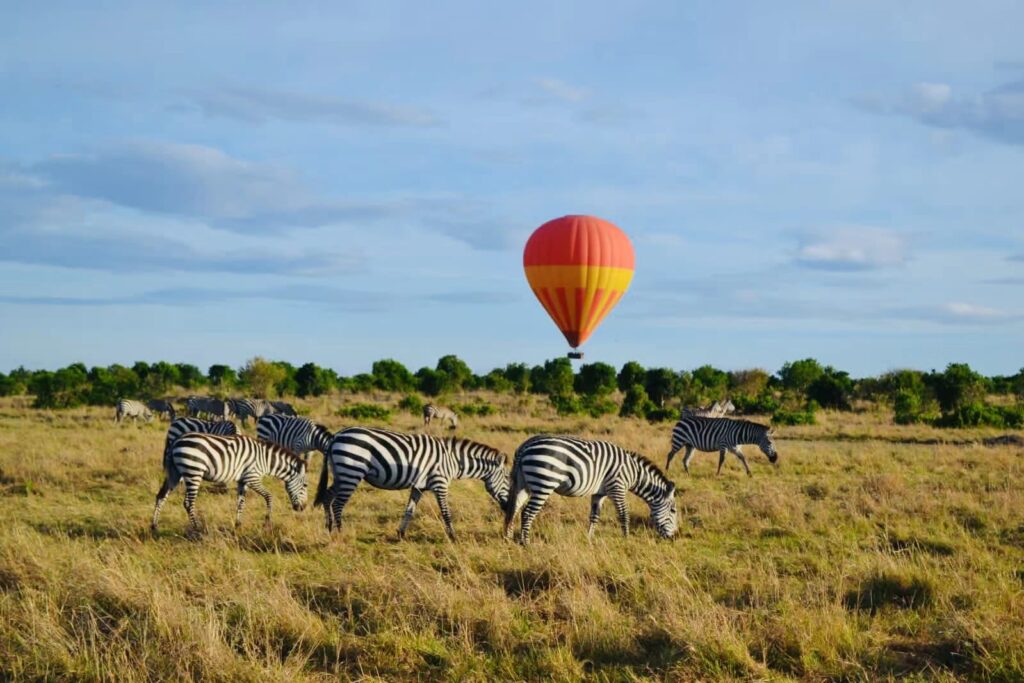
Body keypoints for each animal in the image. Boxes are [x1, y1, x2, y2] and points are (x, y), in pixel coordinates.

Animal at [149, 436, 305, 536]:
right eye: (305, 485)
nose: (302, 508)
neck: (266, 460)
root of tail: (176, 441)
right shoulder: (252, 477)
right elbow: (269, 496)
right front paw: (267, 522)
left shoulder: (243, 481)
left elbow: (241, 503)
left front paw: (237, 526)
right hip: (193, 472)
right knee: (188, 503)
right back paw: (198, 530)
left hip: (175, 473)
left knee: (161, 496)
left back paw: (154, 527)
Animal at [311, 428, 503, 540]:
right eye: (507, 479)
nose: (506, 507)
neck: (454, 461)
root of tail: (336, 436)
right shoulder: (440, 483)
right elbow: (446, 512)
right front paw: (453, 536)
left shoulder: (418, 486)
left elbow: (409, 510)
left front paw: (401, 534)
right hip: (351, 471)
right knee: (338, 504)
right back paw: (341, 533)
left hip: (341, 473)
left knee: (327, 497)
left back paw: (328, 528)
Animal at [503, 438, 679, 544]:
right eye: (673, 510)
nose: (673, 538)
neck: (634, 472)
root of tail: (525, 446)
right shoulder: (617, 487)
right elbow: (624, 514)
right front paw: (626, 538)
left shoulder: (599, 493)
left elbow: (594, 516)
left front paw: (589, 539)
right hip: (543, 483)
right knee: (527, 512)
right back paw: (526, 543)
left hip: (523, 484)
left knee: (514, 509)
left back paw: (509, 538)